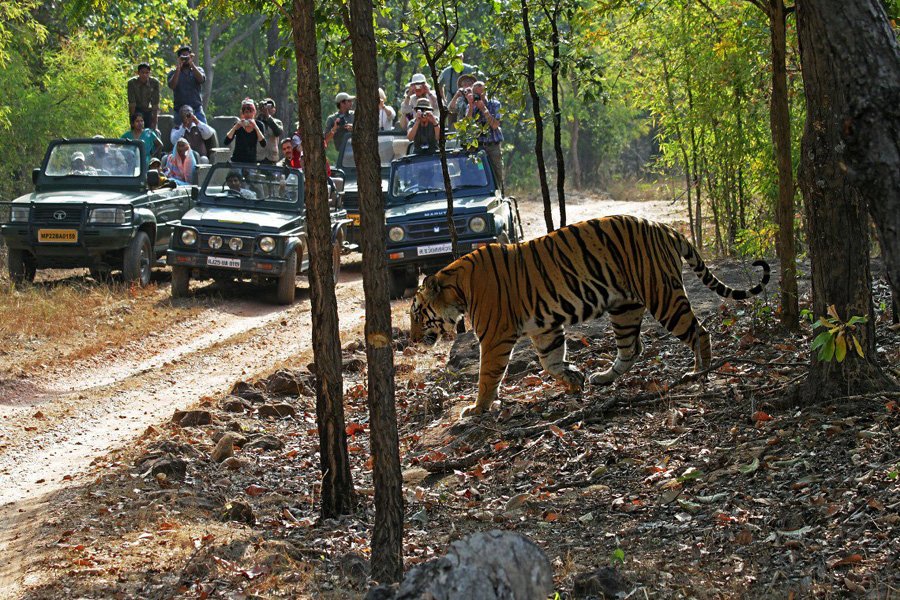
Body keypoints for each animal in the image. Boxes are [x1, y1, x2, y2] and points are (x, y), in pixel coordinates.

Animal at [409, 215, 770, 418]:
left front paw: (477, 409)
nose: (411, 340)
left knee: (699, 332)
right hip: (624, 307)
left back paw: (699, 371)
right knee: (632, 348)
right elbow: (550, 361)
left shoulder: (496, 337)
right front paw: (574, 378)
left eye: (416, 314)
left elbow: (488, 375)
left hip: (662, 295)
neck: (458, 289)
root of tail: (664, 227)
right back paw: (603, 378)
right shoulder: (544, 328)